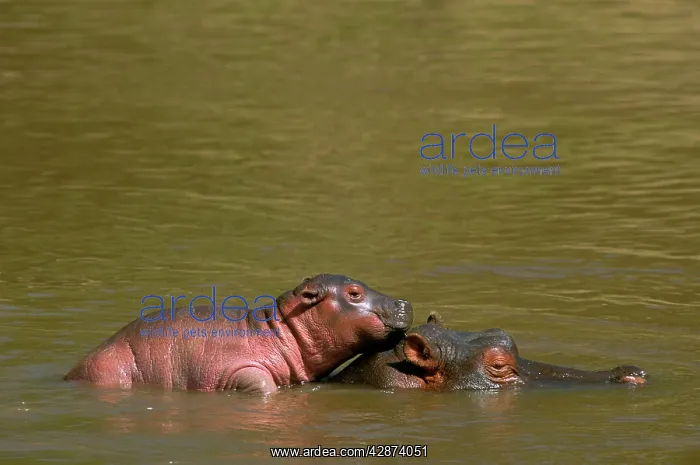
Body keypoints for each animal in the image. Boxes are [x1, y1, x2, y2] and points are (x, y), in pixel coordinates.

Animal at [64, 274, 414, 395]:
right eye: (354, 293)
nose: (404, 302)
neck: (280, 332)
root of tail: (70, 374)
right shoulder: (238, 369)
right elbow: (262, 385)